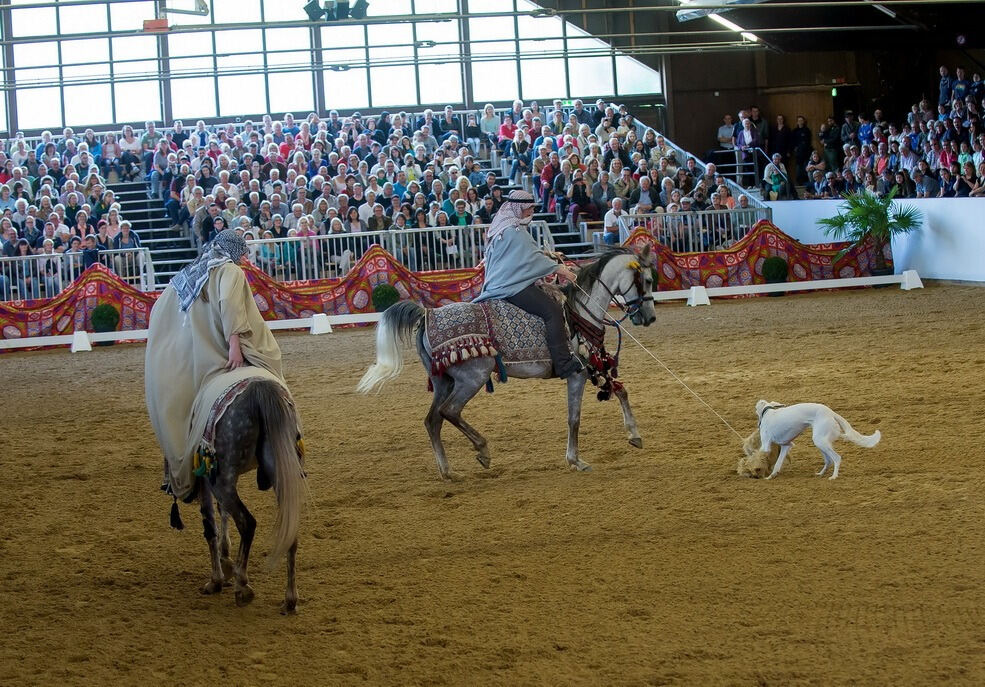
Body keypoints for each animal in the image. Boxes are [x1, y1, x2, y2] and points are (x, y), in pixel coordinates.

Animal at [358, 246, 656, 478]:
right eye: (648, 279)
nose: (650, 316)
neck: (578, 311)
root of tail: (426, 314)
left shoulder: (595, 366)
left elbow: (621, 390)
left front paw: (634, 434)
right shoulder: (578, 373)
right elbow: (574, 418)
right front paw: (576, 460)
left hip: (443, 381)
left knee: (433, 420)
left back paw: (448, 471)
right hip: (472, 378)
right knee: (449, 411)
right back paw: (482, 451)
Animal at [748, 400, 880, 482]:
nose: (757, 424)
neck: (768, 412)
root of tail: (831, 412)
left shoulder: (765, 446)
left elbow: (755, 457)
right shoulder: (786, 445)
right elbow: (778, 464)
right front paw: (771, 476)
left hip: (820, 441)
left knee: (836, 458)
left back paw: (834, 476)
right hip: (820, 442)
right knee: (828, 460)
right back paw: (821, 474)